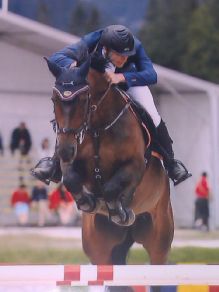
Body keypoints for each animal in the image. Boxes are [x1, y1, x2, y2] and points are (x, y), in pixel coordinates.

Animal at [46, 56, 175, 280]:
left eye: (83, 99)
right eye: (55, 100)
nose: (65, 150)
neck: (99, 126)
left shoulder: (135, 165)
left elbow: (111, 188)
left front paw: (119, 211)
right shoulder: (72, 162)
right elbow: (71, 179)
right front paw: (88, 202)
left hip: (159, 239)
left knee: (158, 260)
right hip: (101, 248)